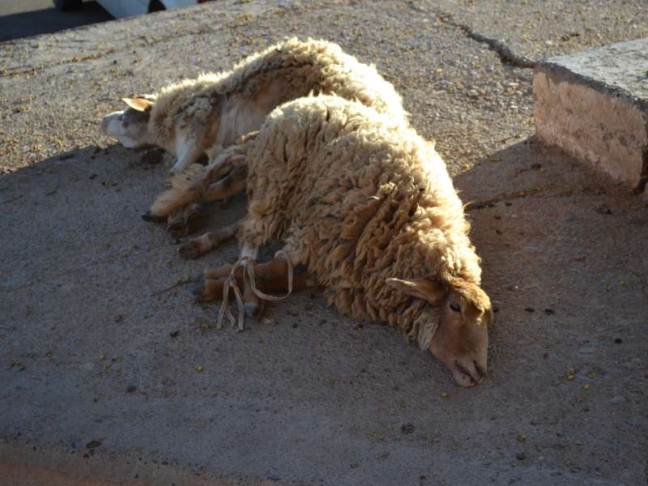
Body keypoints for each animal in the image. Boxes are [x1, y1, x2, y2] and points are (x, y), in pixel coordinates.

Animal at [194, 95, 493, 387]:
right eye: (455, 307)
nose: (479, 371)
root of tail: (296, 103)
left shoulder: (336, 265)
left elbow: (281, 275)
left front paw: (219, 283)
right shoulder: (317, 233)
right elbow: (277, 266)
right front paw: (232, 289)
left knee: (242, 222)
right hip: (275, 178)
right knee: (250, 235)